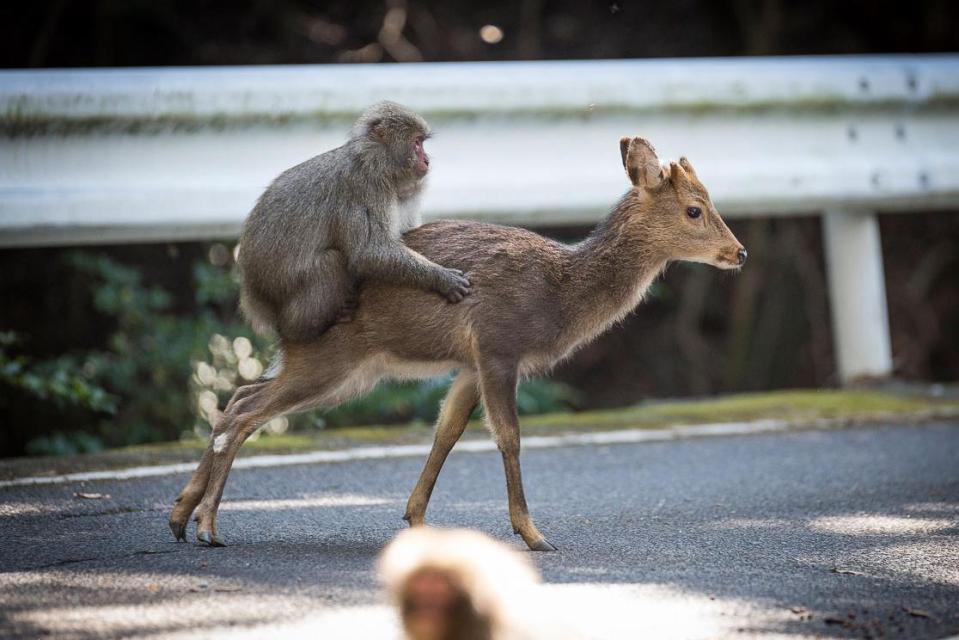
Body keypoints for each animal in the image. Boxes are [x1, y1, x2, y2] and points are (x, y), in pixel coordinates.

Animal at [169, 135, 748, 552]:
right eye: (695, 209)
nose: (739, 252)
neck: (559, 294)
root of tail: (278, 315)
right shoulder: (498, 344)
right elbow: (508, 436)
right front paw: (534, 535)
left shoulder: (469, 363)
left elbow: (445, 432)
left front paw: (417, 520)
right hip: (332, 359)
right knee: (245, 412)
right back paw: (207, 527)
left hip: (340, 370)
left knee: (237, 398)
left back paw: (179, 515)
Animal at [236, 102, 468, 342]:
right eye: (417, 143)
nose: (426, 160)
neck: (375, 163)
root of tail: (253, 293)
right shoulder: (365, 188)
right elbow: (369, 252)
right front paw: (440, 278)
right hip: (282, 289)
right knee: (331, 261)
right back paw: (303, 328)